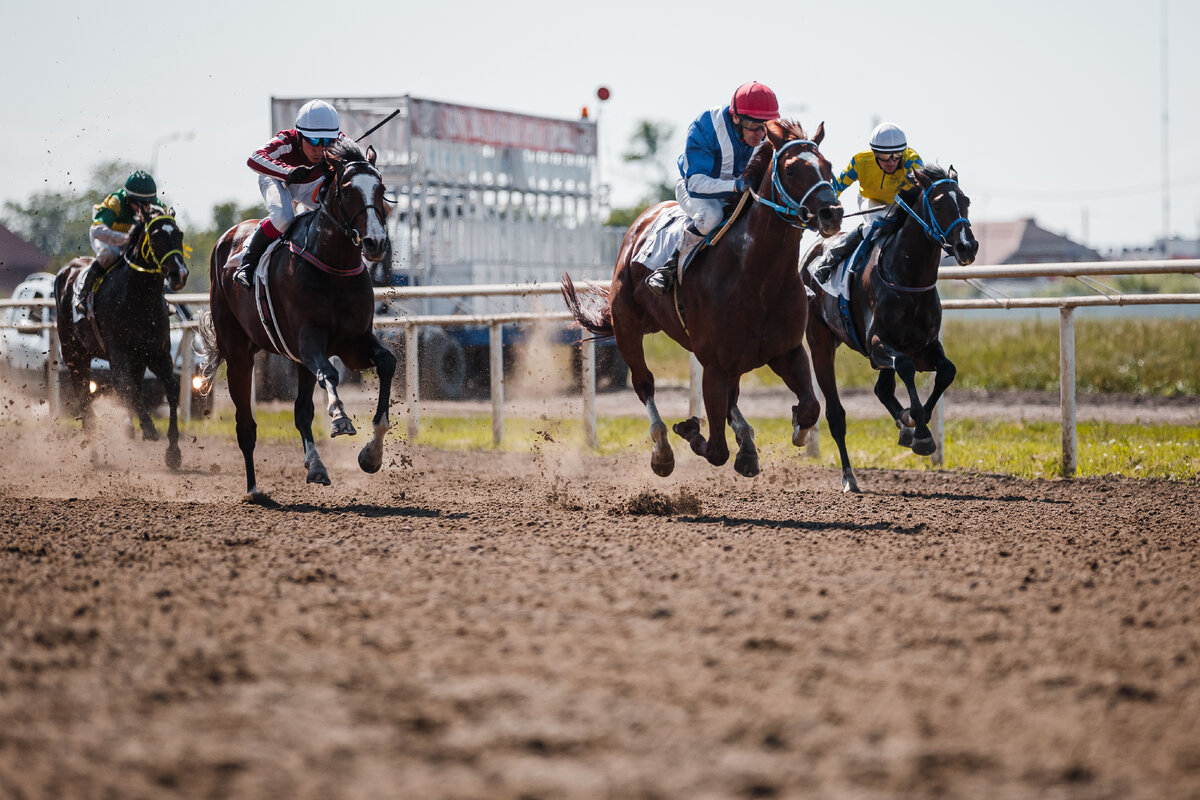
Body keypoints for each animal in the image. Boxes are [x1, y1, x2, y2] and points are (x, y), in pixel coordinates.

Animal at [53, 206, 188, 470]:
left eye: (179, 235)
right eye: (156, 237)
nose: (180, 274)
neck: (137, 298)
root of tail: (67, 270)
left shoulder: (157, 354)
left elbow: (171, 388)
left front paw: (173, 452)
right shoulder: (119, 354)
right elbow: (127, 387)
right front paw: (149, 428)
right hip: (75, 355)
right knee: (85, 398)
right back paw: (95, 451)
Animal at [194, 140, 396, 496]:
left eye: (381, 189)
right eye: (347, 190)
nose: (375, 243)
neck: (334, 265)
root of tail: (229, 236)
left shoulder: (354, 344)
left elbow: (386, 362)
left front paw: (371, 455)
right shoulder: (309, 340)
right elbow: (329, 373)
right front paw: (340, 417)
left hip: (296, 360)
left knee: (301, 412)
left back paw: (315, 465)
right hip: (238, 353)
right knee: (245, 424)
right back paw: (253, 489)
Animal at [561, 122, 844, 479]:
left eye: (828, 166)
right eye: (791, 169)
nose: (832, 213)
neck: (758, 277)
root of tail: (642, 220)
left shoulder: (786, 351)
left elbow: (810, 406)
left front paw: (796, 430)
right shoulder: (714, 363)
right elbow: (716, 449)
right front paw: (689, 429)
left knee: (732, 400)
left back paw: (746, 441)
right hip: (627, 328)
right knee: (644, 384)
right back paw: (663, 449)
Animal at [801, 164, 979, 494]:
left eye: (965, 201)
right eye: (938, 204)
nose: (967, 247)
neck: (908, 278)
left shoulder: (924, 346)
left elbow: (947, 371)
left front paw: (914, 424)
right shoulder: (877, 345)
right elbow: (906, 368)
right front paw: (921, 431)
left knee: (882, 389)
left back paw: (903, 424)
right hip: (820, 341)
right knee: (836, 413)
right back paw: (849, 476)